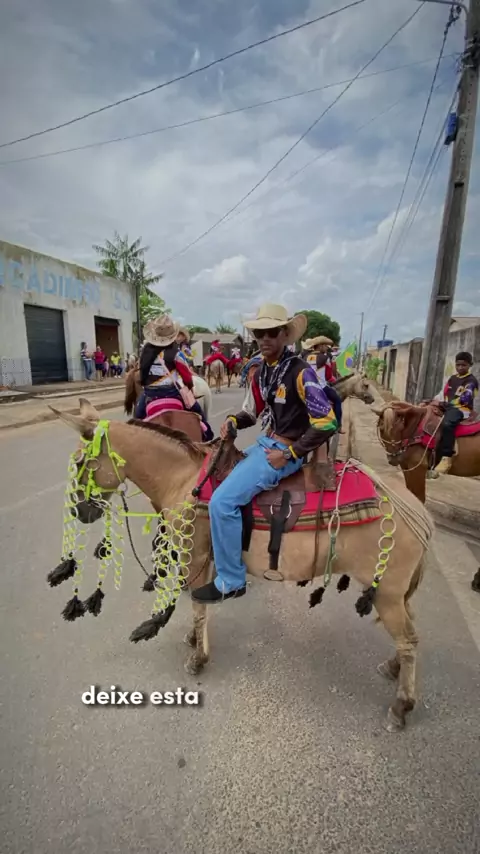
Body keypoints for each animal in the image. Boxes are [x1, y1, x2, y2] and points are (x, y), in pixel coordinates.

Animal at [54, 398, 434, 731]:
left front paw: (198, 657)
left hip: (386, 592)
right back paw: (393, 668)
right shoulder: (205, 560)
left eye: (80, 463)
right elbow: (200, 606)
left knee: (409, 640)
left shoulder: (196, 556)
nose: (79, 510)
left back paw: (401, 705)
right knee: (411, 633)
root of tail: (413, 508)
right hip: (393, 593)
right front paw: (194, 640)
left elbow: (197, 607)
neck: (184, 478)